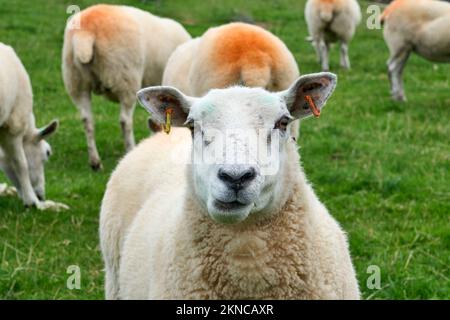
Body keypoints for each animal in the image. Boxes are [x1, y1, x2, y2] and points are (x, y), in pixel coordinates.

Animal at [62, 4, 192, 170]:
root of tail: (87, 32)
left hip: (76, 80)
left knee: (87, 120)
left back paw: (95, 162)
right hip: (126, 78)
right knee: (125, 121)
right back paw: (130, 149)